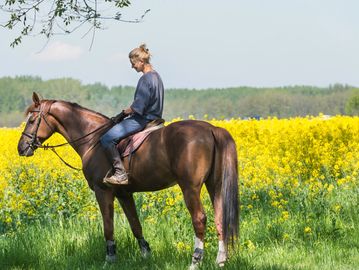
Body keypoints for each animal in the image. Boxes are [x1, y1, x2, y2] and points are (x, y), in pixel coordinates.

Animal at [18, 92, 240, 268]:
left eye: (32, 120)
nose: (21, 148)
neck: (93, 140)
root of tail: (211, 129)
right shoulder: (124, 194)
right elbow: (135, 224)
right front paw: (146, 255)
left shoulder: (103, 192)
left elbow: (108, 227)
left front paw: (110, 259)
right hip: (215, 185)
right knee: (220, 217)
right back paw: (220, 259)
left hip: (190, 188)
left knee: (199, 219)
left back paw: (195, 261)